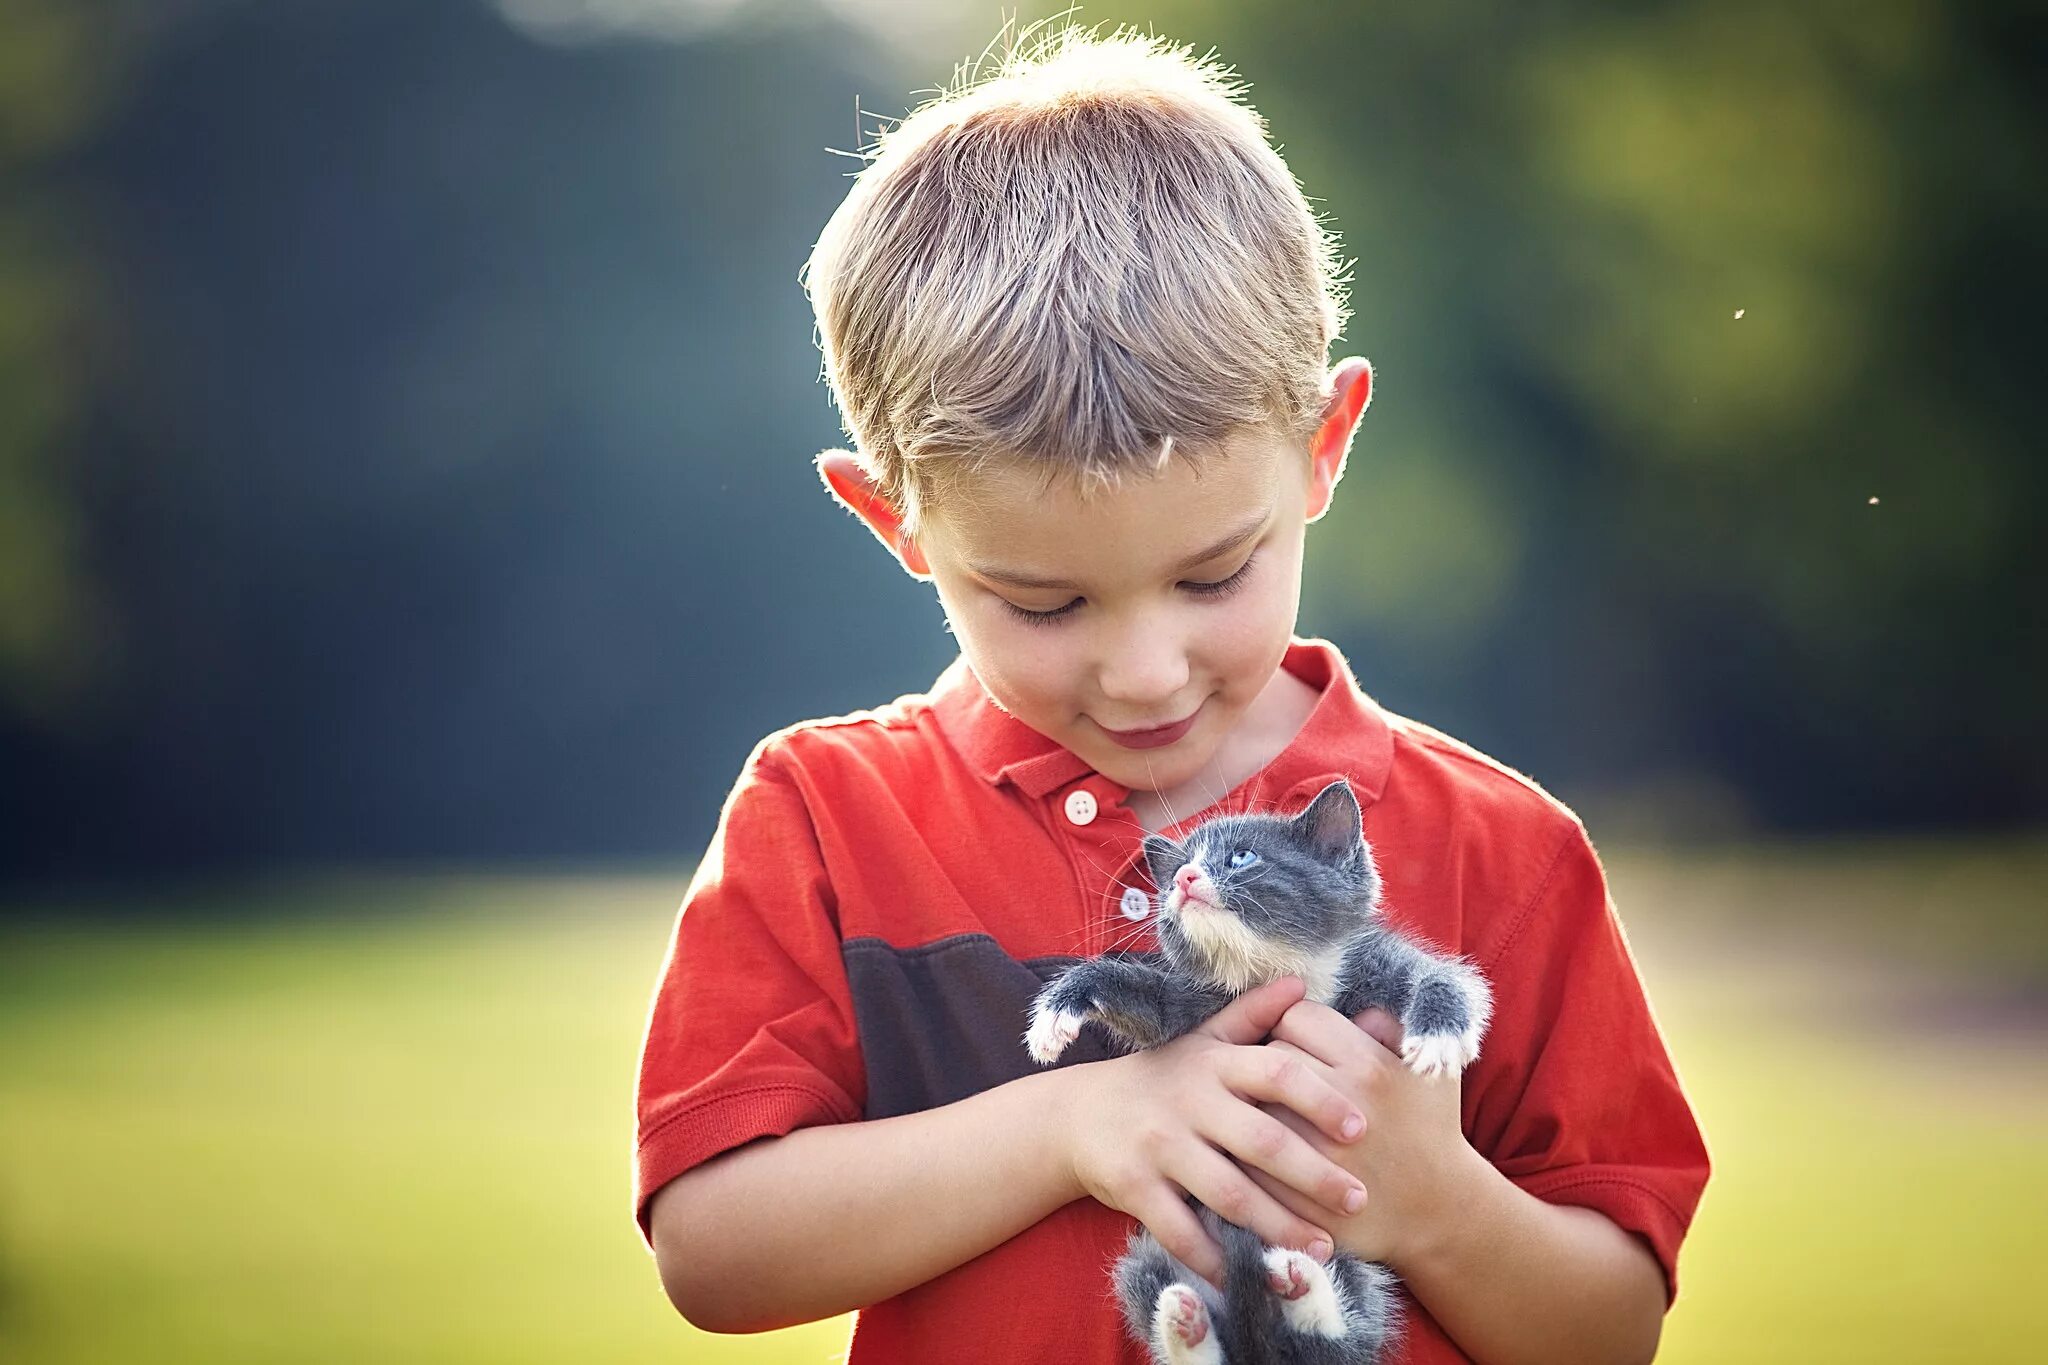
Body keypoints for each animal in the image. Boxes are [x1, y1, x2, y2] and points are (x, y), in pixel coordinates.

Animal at [1024, 777, 1490, 1365]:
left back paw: (1302, 1290)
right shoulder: (1192, 1006)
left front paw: (1439, 1032)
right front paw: (1061, 1006)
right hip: (1150, 1259)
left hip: (1354, 1257)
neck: (1275, 969)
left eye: (1241, 857)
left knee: (1338, 1342)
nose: (1183, 878)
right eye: (1178, 869)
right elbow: (1140, 999)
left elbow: (1442, 975)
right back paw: (1188, 1326)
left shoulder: (1375, 964)